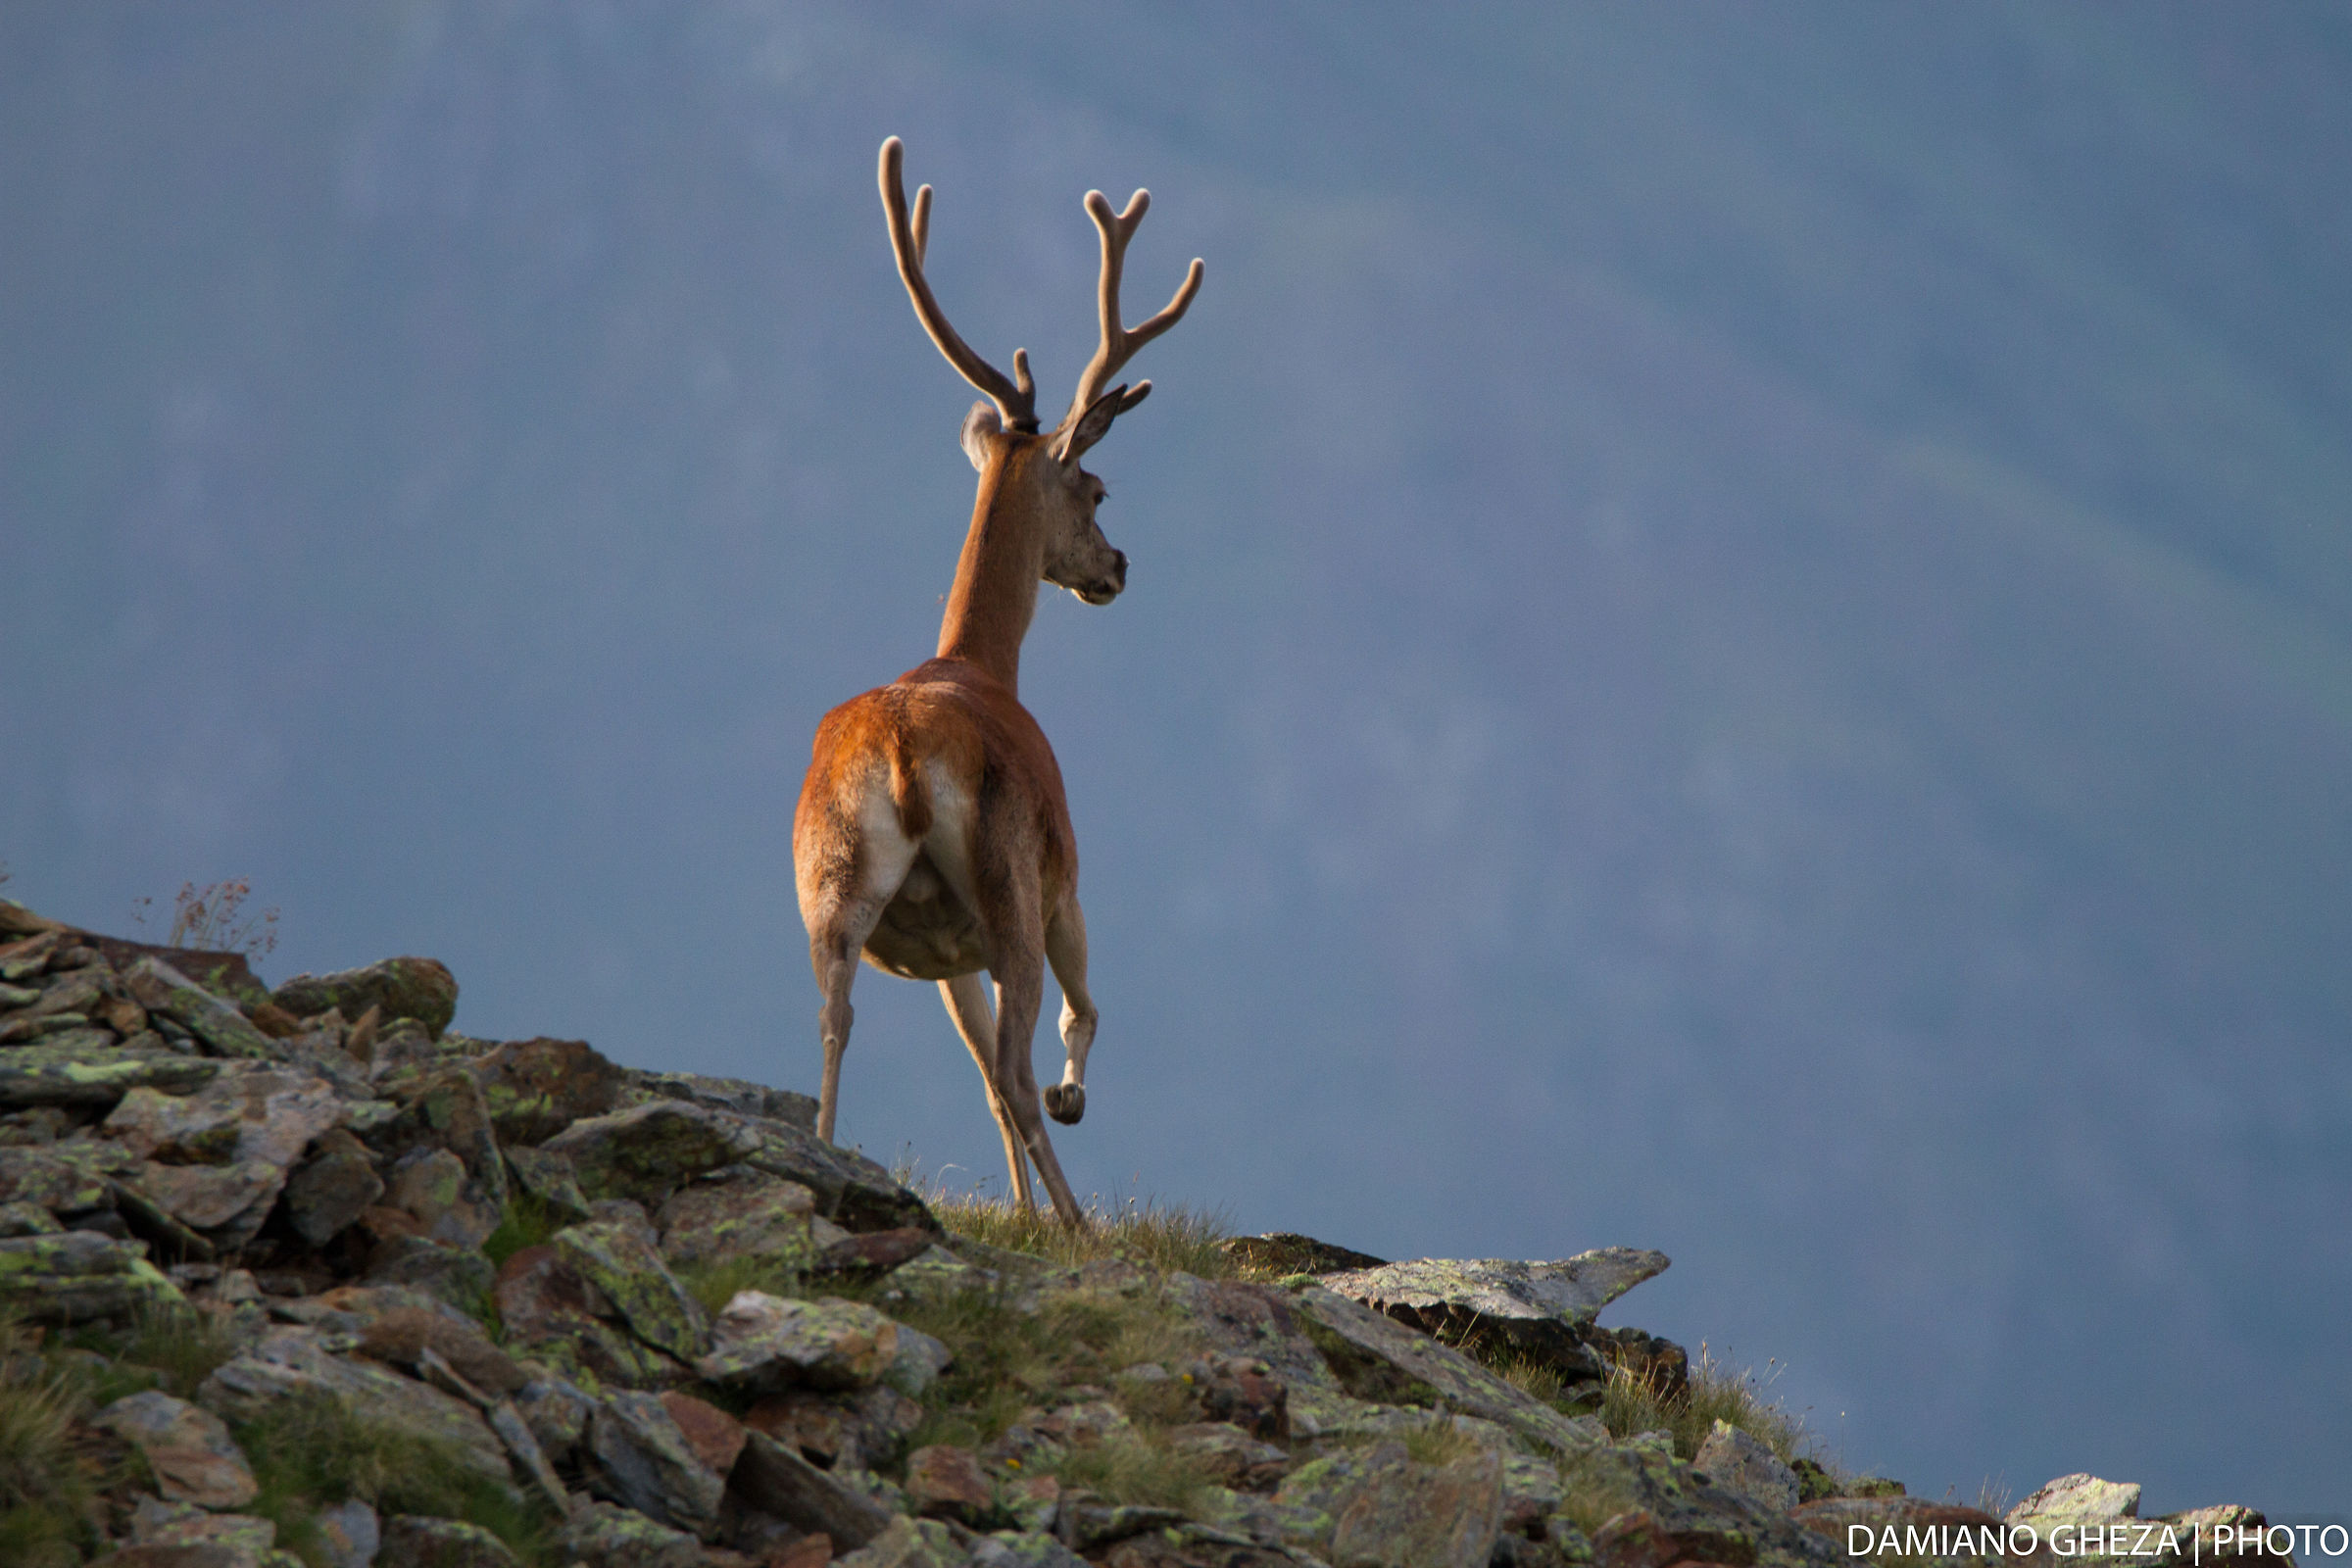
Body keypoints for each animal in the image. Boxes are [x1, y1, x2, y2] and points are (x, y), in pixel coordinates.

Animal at [792, 137, 1203, 1227]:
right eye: (1096, 489)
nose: (1119, 567)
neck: (979, 663)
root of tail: (899, 753)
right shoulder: (1067, 881)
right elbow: (1082, 1016)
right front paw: (1070, 1109)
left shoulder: (946, 954)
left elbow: (976, 1079)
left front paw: (1015, 1204)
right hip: (1010, 884)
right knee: (1017, 1064)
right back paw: (1078, 1218)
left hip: (834, 891)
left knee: (838, 1023)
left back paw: (830, 1154)